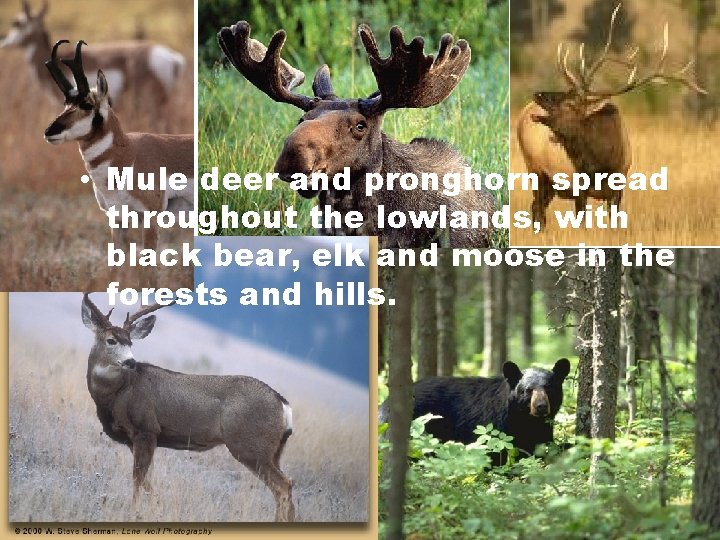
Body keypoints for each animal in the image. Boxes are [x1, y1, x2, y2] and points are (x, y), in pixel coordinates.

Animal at [43, 40, 194, 288]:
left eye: (87, 104)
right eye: (66, 102)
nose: (49, 131)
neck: (129, 154)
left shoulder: (150, 218)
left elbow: (148, 272)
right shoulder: (117, 219)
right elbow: (115, 266)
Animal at [81, 294, 296, 522]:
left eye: (130, 342)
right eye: (111, 340)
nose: (131, 361)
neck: (119, 393)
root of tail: (283, 404)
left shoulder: (146, 429)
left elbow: (138, 478)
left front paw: (134, 512)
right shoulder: (136, 439)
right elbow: (148, 480)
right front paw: (158, 509)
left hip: (251, 446)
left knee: (283, 486)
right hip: (274, 451)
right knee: (285, 485)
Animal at [381, 358, 571, 461]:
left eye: (549, 388)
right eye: (528, 390)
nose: (541, 406)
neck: (524, 420)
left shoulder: (541, 430)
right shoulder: (495, 426)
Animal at [517, 3, 706, 230]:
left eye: (570, 103)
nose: (537, 94)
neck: (602, 163)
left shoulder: (618, 189)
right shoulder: (579, 188)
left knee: (538, 208)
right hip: (535, 170)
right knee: (537, 209)